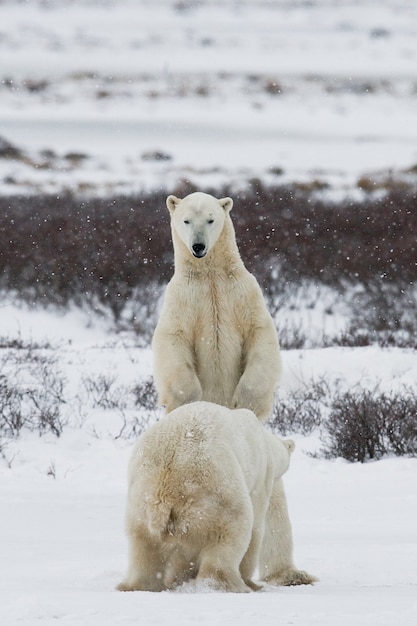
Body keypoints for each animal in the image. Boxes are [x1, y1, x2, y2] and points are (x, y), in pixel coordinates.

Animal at [115, 400, 294, 588]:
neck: (266, 443)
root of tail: (165, 485)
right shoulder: (260, 476)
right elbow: (256, 526)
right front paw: (249, 580)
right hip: (214, 494)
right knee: (231, 533)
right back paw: (229, 584)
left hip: (140, 499)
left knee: (143, 547)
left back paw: (138, 585)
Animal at [152, 191, 316, 584]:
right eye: (186, 220)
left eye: (211, 219)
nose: (198, 247)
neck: (210, 274)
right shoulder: (180, 301)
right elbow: (172, 343)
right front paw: (189, 398)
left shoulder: (244, 294)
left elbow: (262, 337)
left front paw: (246, 399)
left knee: (275, 511)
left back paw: (290, 573)